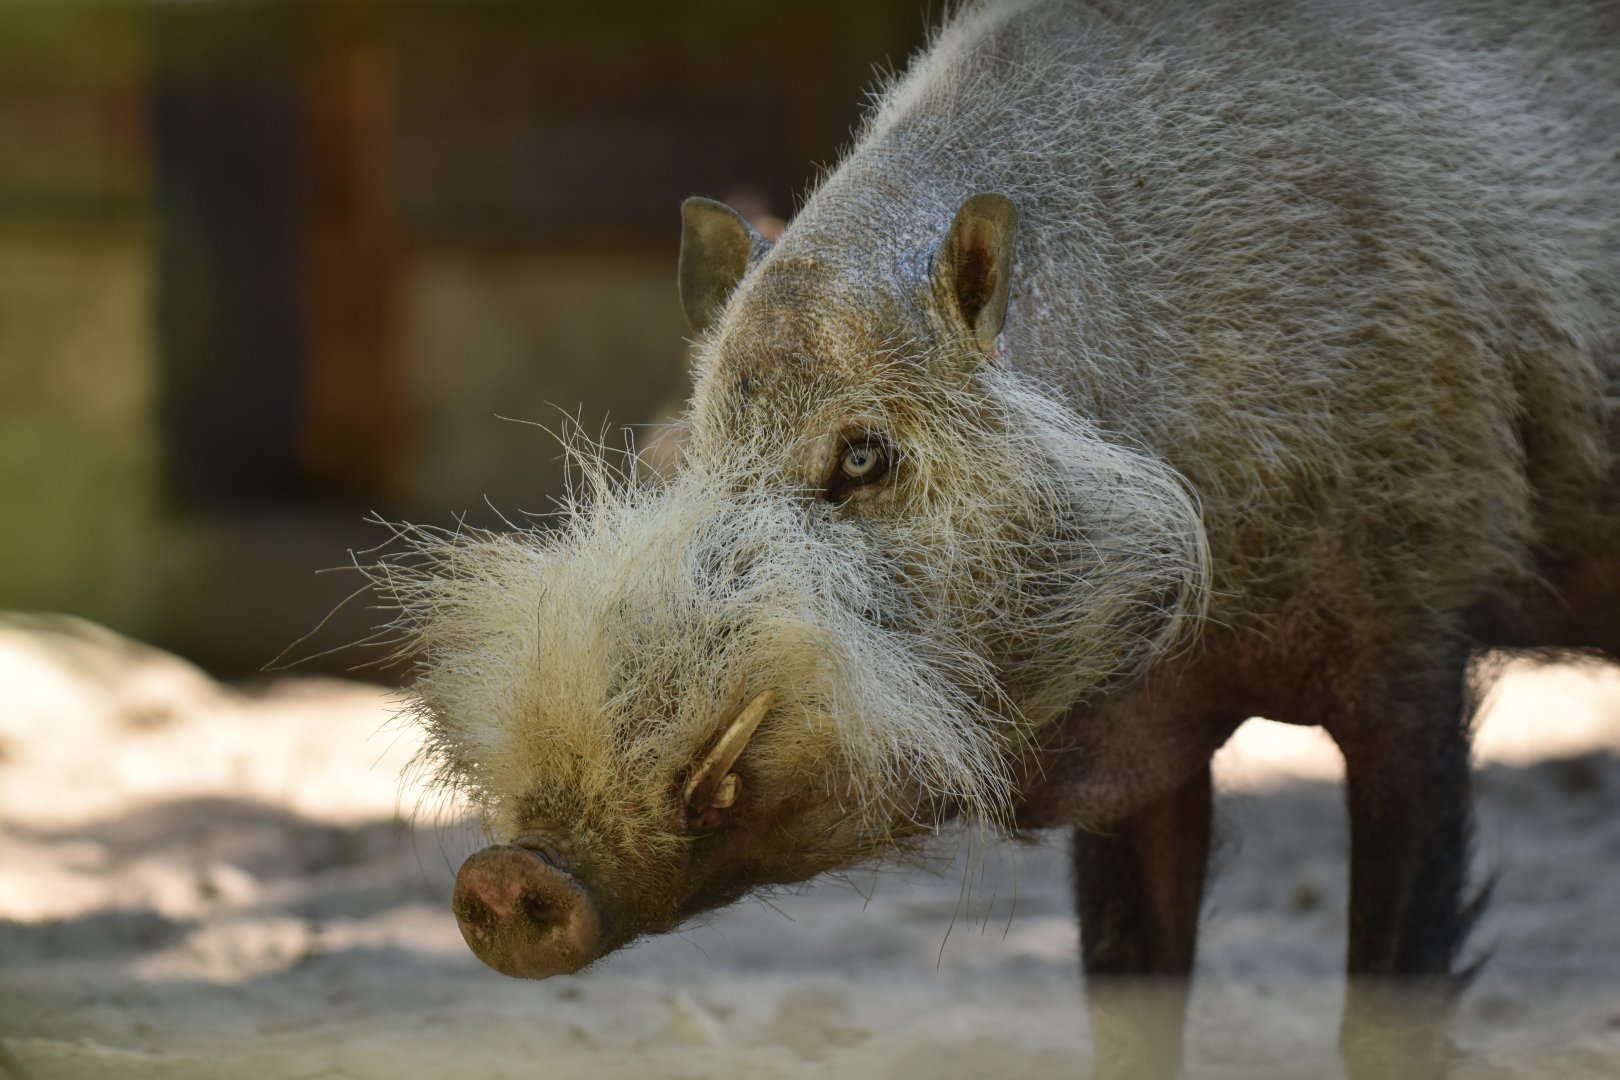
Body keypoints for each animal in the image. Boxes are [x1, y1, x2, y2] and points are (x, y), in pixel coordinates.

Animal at [371, 0, 1620, 1076]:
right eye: (691, 449)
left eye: (863, 456)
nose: (505, 872)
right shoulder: (1145, 732)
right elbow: (1128, 993)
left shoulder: (1422, 633)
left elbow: (1389, 1002)